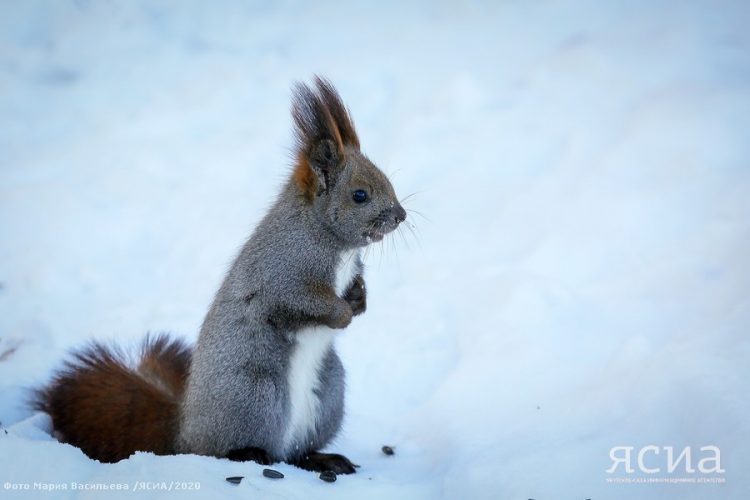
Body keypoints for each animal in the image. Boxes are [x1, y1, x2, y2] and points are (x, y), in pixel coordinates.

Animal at [33, 77, 412, 472]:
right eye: (359, 195)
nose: (401, 216)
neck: (330, 239)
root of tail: (183, 432)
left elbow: (356, 286)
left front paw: (360, 300)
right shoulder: (283, 272)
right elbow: (302, 299)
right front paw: (342, 314)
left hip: (328, 395)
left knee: (296, 453)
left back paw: (323, 459)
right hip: (254, 394)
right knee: (231, 449)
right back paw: (251, 454)